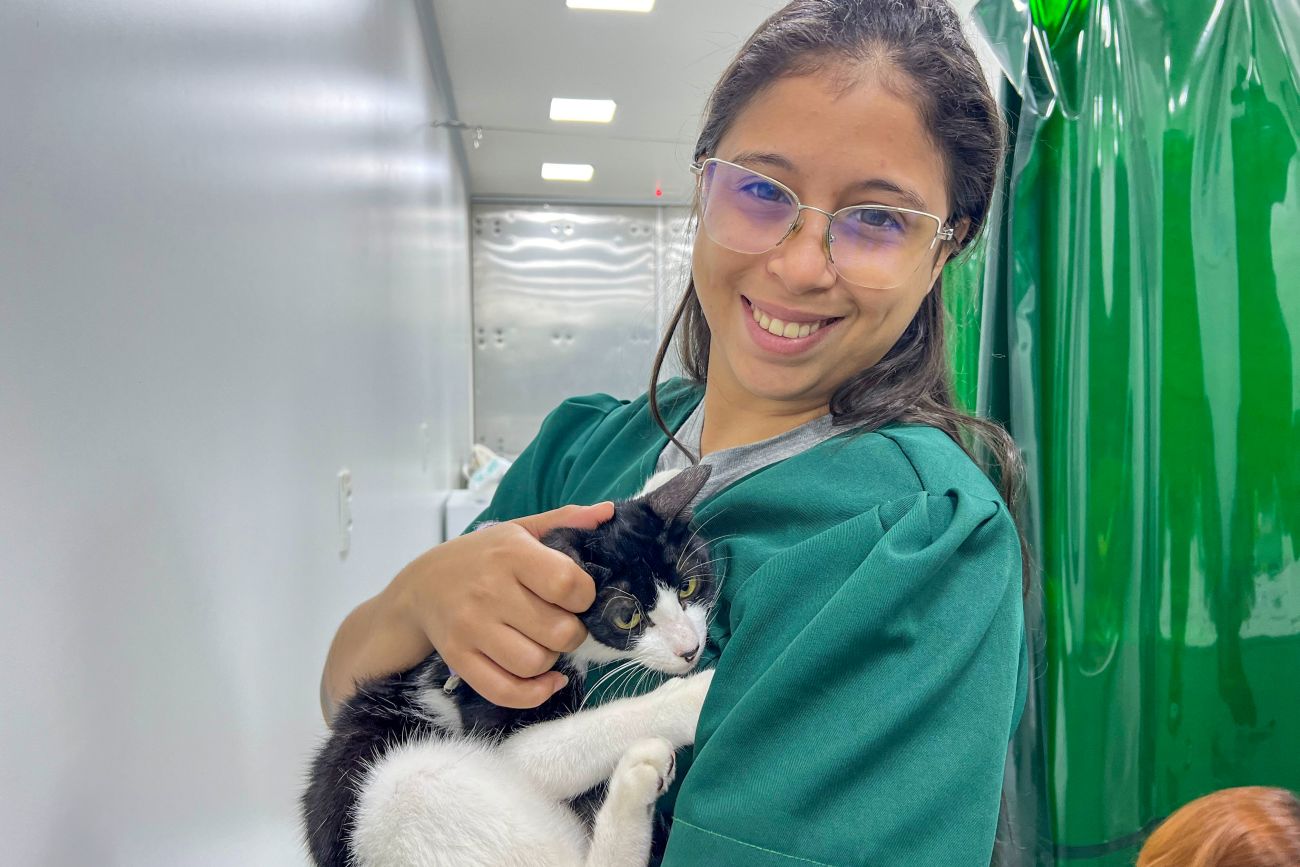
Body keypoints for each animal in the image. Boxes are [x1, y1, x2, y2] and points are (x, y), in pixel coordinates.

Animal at [302, 464, 718, 867]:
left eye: (688, 587)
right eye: (627, 617)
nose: (690, 649)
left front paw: (661, 479)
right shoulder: (488, 709)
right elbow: (572, 738)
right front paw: (690, 698)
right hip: (394, 794)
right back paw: (639, 775)